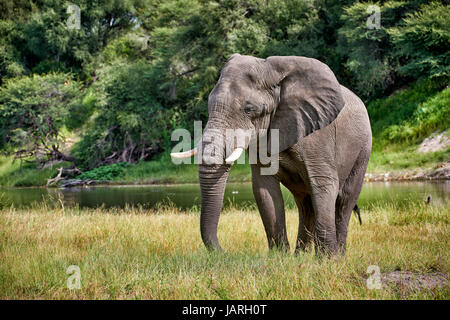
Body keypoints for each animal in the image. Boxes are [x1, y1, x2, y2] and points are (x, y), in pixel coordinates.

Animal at [171, 53, 370, 256]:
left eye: (249, 109)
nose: (223, 251)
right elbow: (265, 190)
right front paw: (279, 257)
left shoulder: (318, 134)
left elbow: (323, 184)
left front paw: (328, 260)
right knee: (306, 203)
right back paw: (301, 256)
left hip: (363, 150)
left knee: (344, 201)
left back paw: (339, 255)